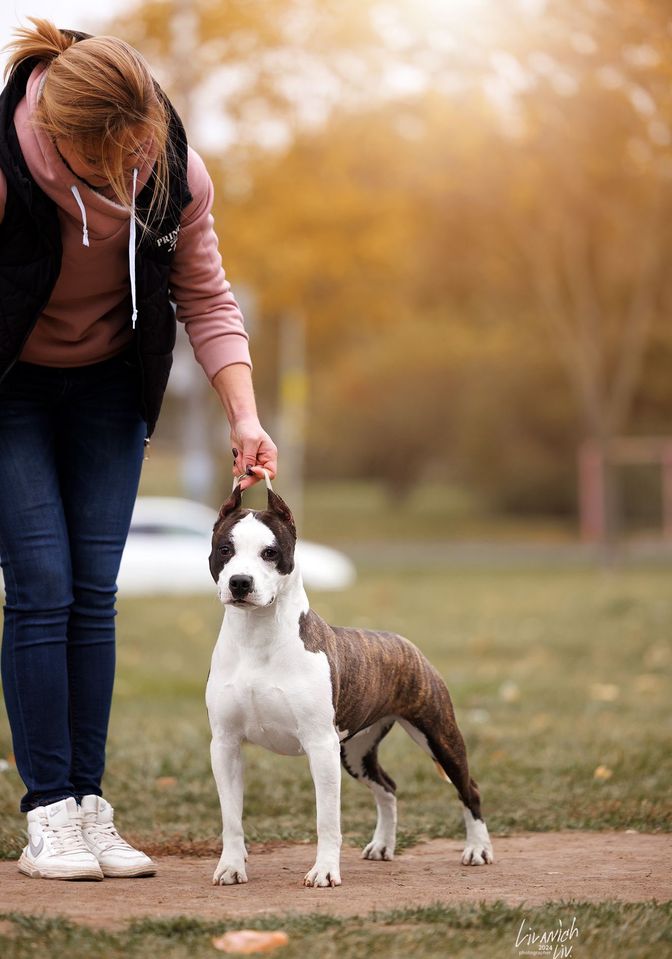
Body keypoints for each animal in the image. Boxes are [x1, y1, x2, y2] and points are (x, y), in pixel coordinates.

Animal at [205, 484, 494, 888]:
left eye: (270, 552)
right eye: (225, 549)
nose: (240, 583)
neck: (256, 637)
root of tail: (404, 643)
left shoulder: (320, 745)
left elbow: (327, 820)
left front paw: (324, 871)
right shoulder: (225, 745)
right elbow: (231, 817)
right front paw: (231, 867)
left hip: (439, 735)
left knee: (469, 789)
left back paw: (478, 850)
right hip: (356, 751)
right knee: (388, 788)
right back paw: (383, 846)